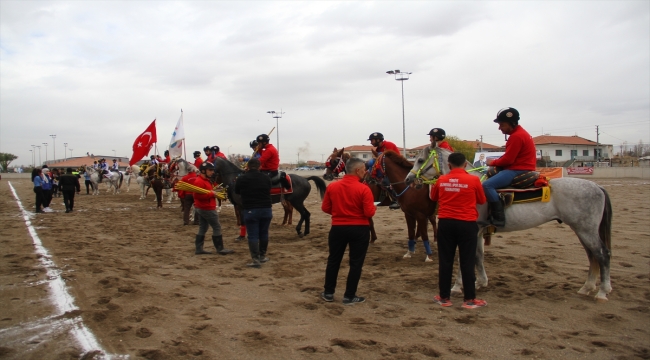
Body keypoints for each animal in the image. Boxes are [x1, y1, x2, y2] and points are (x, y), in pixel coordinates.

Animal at [402, 146, 612, 300]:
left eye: (419, 160)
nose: (409, 179)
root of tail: (598, 187)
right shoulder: (479, 231)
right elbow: (478, 257)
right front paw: (481, 282)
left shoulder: (471, 231)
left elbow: (466, 258)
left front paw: (457, 286)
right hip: (582, 230)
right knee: (592, 256)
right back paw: (587, 287)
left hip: (586, 230)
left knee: (602, 254)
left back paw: (602, 291)